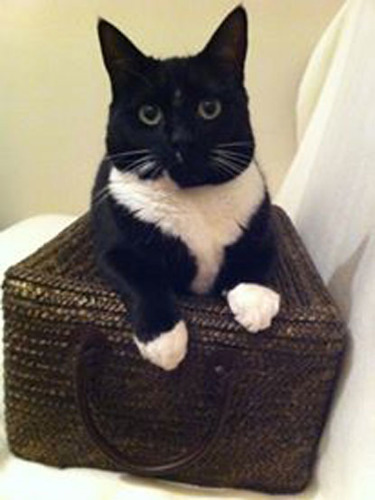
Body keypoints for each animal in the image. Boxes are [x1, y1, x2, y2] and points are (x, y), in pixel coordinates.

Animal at [91, 4, 280, 372]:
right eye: (149, 114)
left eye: (209, 108)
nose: (181, 140)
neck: (194, 198)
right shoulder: (112, 247)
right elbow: (142, 277)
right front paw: (165, 341)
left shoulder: (264, 225)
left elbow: (256, 256)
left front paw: (254, 299)